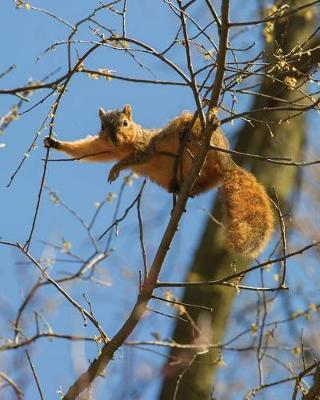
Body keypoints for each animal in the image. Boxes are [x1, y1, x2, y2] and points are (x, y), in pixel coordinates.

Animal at [44, 104, 276, 258]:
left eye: (125, 123)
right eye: (102, 126)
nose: (115, 138)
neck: (122, 147)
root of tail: (226, 163)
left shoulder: (146, 147)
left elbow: (136, 158)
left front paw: (116, 169)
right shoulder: (105, 148)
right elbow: (88, 150)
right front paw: (56, 143)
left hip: (200, 131)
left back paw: (187, 135)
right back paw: (183, 188)